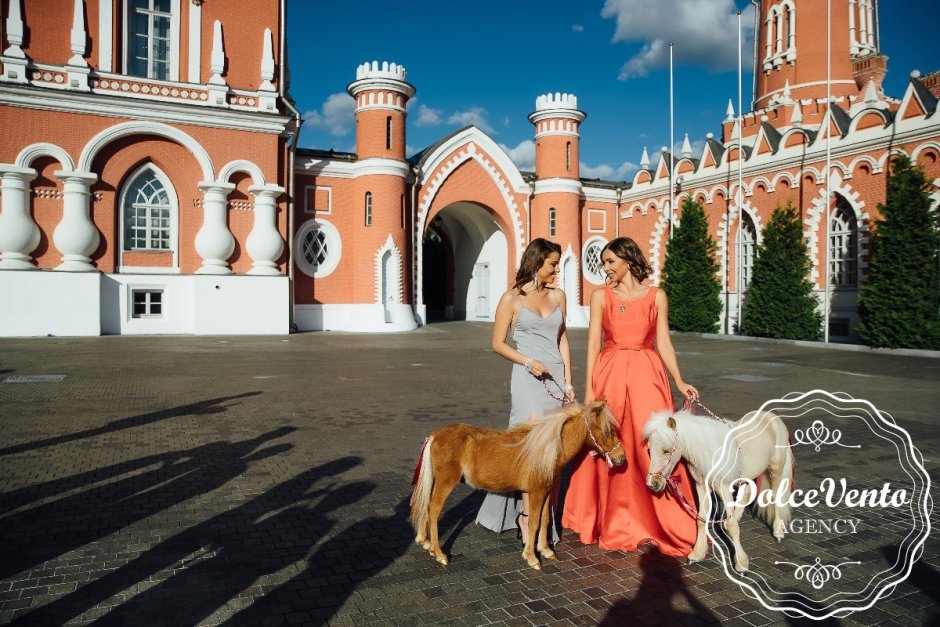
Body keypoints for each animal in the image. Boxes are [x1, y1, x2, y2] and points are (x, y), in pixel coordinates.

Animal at [410, 400, 624, 572]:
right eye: (607, 431)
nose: (621, 458)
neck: (547, 448)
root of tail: (435, 436)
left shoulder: (546, 492)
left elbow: (545, 519)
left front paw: (545, 550)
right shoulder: (536, 492)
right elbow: (534, 522)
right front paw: (532, 557)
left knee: (425, 505)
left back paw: (426, 543)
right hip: (446, 482)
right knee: (433, 510)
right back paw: (440, 554)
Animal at [648, 408, 792, 576]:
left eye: (666, 451)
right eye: (649, 450)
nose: (653, 483)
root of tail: (773, 417)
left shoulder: (723, 487)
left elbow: (731, 525)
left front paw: (741, 564)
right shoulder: (702, 486)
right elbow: (701, 519)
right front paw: (697, 554)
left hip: (776, 469)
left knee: (776, 496)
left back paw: (778, 532)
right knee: (746, 493)